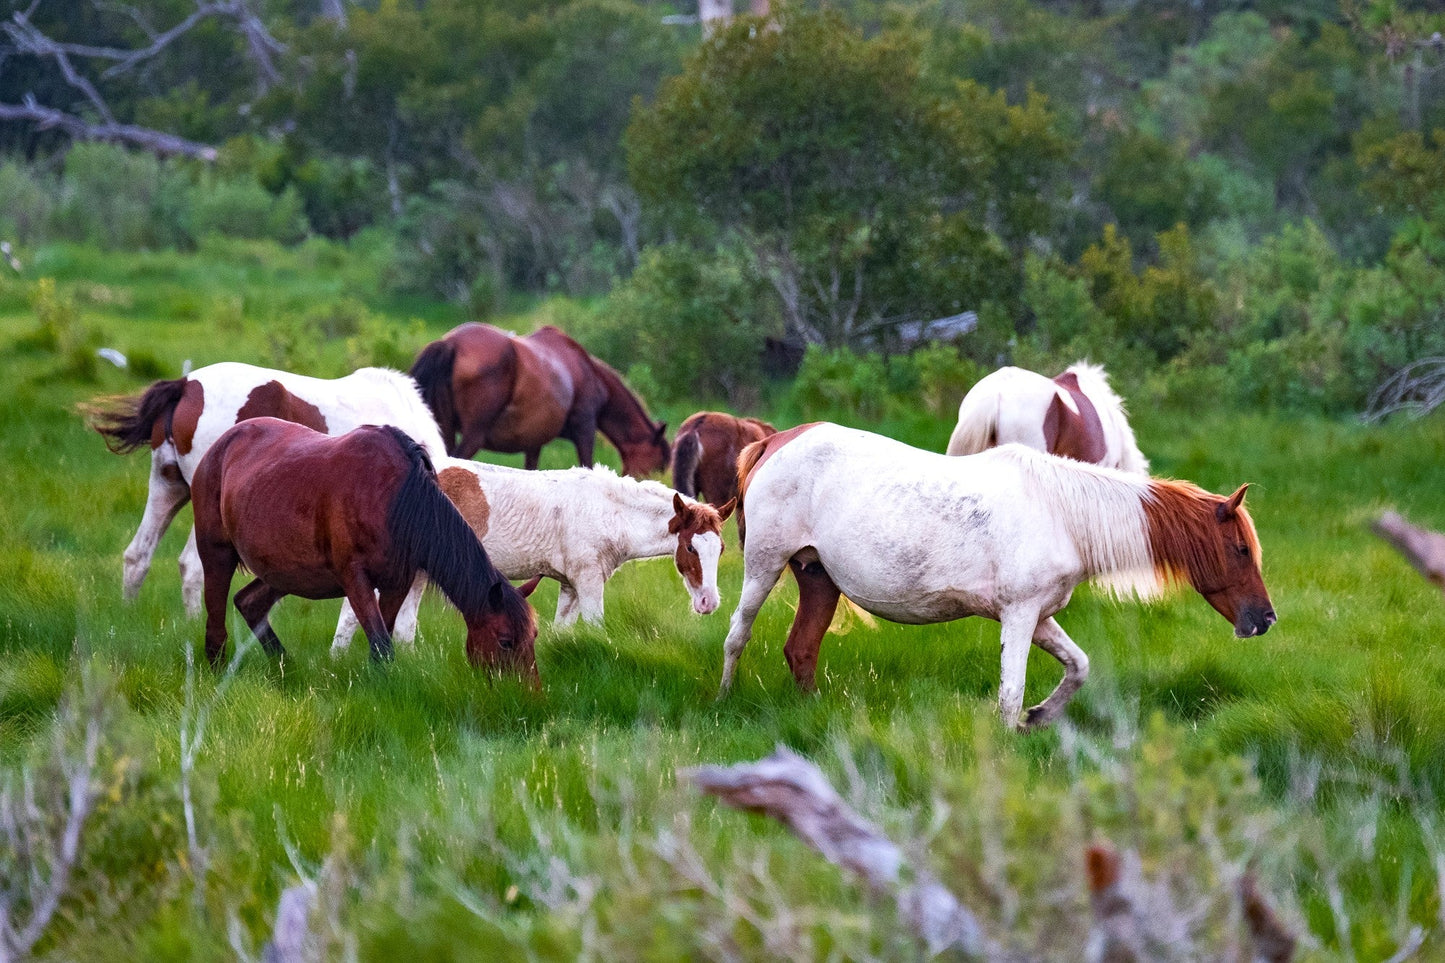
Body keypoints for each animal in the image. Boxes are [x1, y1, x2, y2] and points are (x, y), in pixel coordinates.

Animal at [190, 418, 540, 676]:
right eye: (506, 642)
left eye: (533, 637)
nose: (526, 692)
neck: (396, 499)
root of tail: (221, 445)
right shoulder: (354, 578)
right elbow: (382, 645)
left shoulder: (397, 582)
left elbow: (381, 641)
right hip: (217, 554)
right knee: (216, 623)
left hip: (286, 571)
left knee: (249, 603)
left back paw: (285, 667)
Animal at [330, 461, 735, 652]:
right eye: (690, 547)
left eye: (720, 549)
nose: (708, 602)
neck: (607, 511)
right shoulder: (588, 582)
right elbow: (597, 628)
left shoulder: (571, 586)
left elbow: (564, 631)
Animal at [409, 323, 670, 476]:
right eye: (658, 465)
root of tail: (449, 344)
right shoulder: (585, 429)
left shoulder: (533, 442)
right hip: (474, 435)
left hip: (445, 429)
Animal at [720, 423, 1275, 730]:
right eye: (1240, 549)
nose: (1265, 620)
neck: (1061, 513)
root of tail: (773, 442)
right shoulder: (1020, 616)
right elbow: (1011, 694)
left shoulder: (1038, 616)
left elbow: (1078, 667)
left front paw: (1041, 717)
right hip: (764, 567)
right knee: (737, 635)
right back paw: (725, 698)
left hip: (818, 578)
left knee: (802, 649)